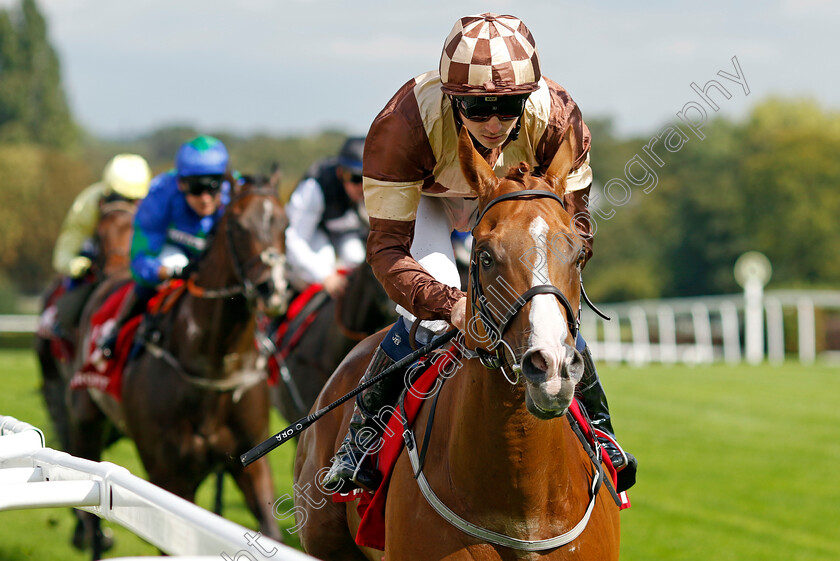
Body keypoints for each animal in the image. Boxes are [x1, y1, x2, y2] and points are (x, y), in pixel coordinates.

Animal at [65, 177, 290, 552]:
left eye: (285, 224)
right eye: (238, 226)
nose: (273, 288)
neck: (214, 365)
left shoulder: (250, 460)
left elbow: (269, 530)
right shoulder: (167, 476)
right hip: (86, 419)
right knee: (92, 518)